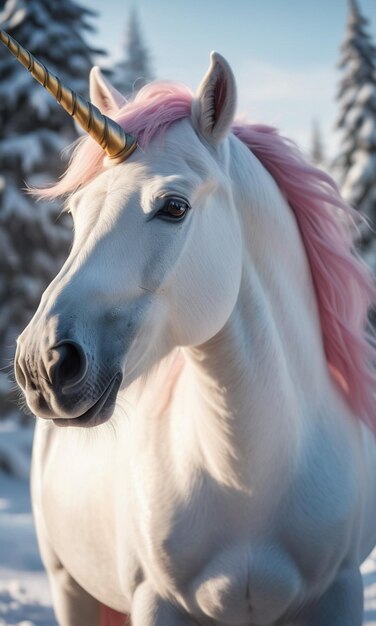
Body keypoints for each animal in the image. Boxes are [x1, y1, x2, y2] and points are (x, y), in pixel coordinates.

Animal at [7, 33, 376, 624]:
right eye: (75, 212)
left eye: (174, 207)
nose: (41, 364)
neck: (248, 475)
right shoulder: (155, 601)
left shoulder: (340, 592)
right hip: (67, 585)